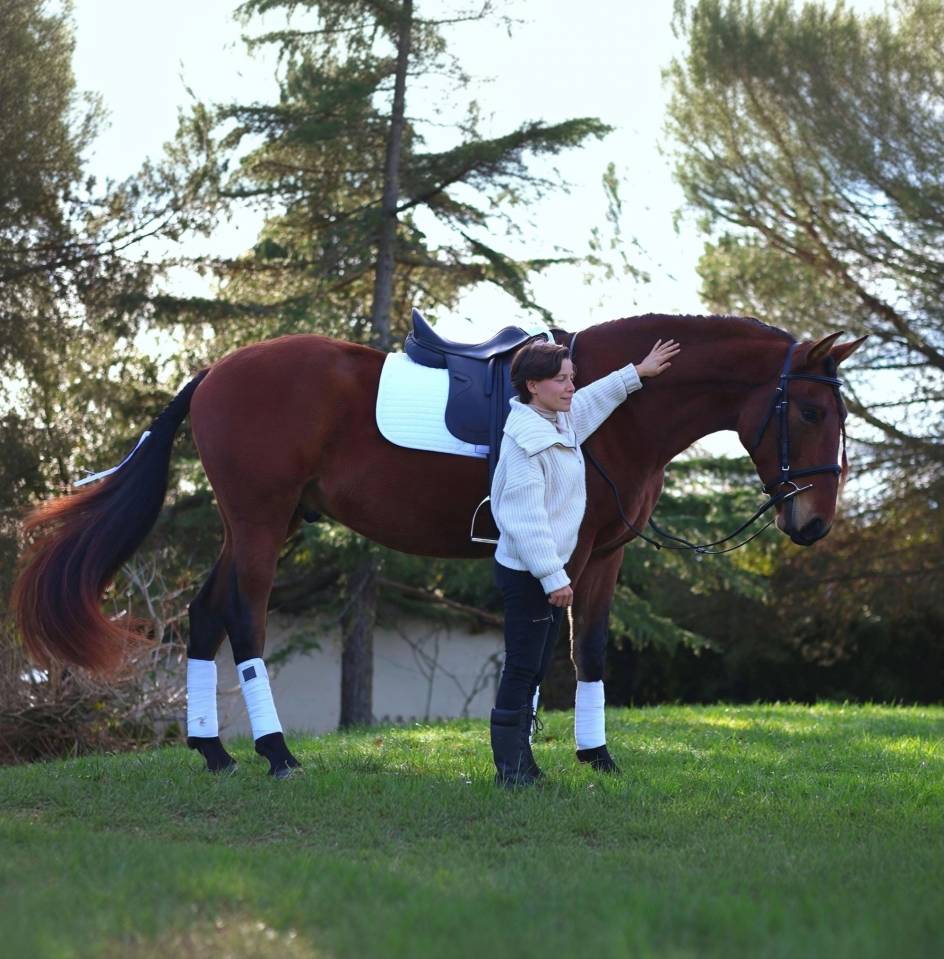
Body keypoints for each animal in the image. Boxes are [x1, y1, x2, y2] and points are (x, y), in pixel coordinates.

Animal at [12, 313, 865, 777]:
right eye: (812, 411)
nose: (814, 523)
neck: (609, 413)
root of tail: (215, 368)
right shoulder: (566, 551)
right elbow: (541, 655)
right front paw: (532, 757)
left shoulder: (604, 555)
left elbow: (588, 652)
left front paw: (595, 757)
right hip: (259, 519)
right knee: (245, 617)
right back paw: (277, 751)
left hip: (262, 520)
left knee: (202, 611)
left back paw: (215, 752)